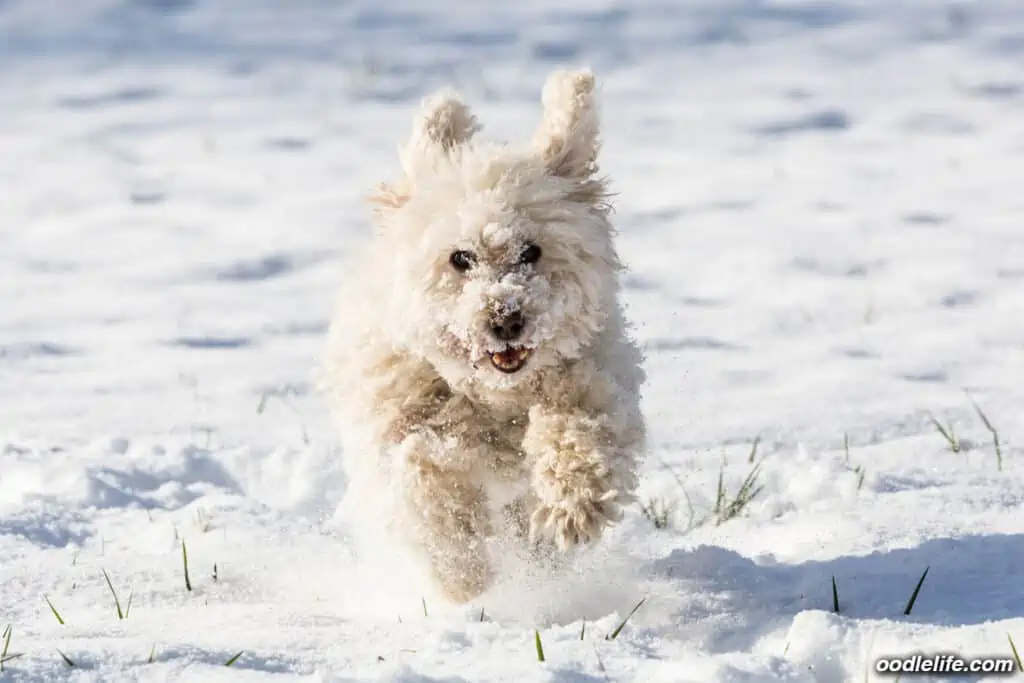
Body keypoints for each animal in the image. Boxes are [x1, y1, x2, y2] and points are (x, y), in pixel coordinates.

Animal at [325, 68, 647, 602]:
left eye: (532, 251)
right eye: (461, 258)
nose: (505, 318)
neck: (495, 398)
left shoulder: (591, 378)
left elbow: (580, 431)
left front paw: (573, 506)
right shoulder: (404, 425)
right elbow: (431, 494)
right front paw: (464, 584)